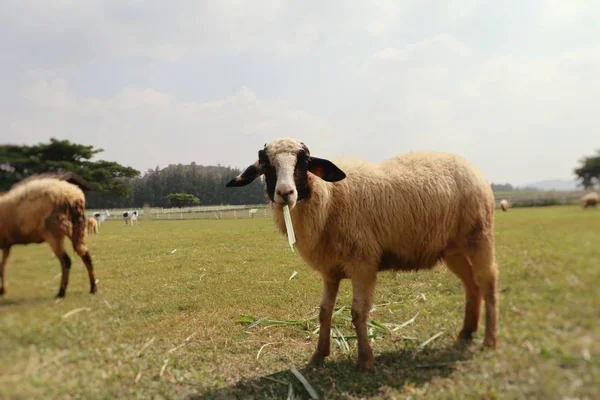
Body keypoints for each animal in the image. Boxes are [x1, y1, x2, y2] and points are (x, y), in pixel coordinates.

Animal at [227, 138, 500, 372]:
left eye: (303, 161)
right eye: (266, 164)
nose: (285, 193)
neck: (329, 198)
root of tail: (472, 167)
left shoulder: (363, 264)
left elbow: (358, 313)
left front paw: (365, 360)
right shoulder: (330, 270)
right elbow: (324, 311)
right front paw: (318, 356)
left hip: (479, 235)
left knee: (487, 282)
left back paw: (489, 340)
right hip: (453, 249)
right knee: (471, 285)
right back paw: (467, 331)